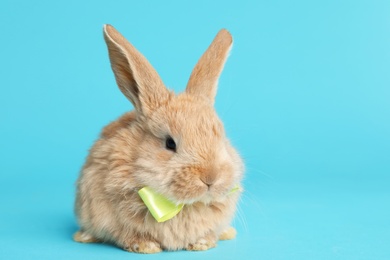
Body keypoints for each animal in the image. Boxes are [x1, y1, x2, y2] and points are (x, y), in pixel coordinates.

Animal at [72, 24, 244, 254]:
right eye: (170, 143)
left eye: (221, 137)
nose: (211, 177)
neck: (176, 204)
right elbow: (126, 234)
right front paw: (146, 247)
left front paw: (202, 244)